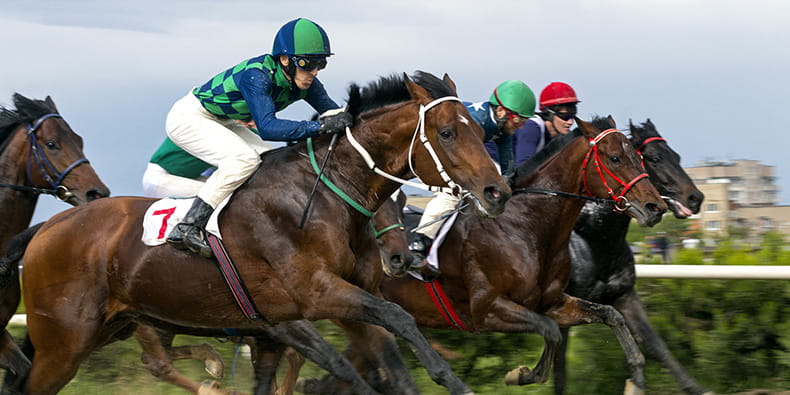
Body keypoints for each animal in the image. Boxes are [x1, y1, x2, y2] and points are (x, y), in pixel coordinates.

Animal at [372, 116, 668, 394]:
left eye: (639, 158)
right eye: (615, 158)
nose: (656, 207)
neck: (525, 227)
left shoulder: (552, 302)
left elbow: (610, 314)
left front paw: (636, 380)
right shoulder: (486, 311)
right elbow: (551, 332)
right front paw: (521, 375)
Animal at [560, 120, 716, 395]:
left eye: (677, 156)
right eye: (654, 158)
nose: (696, 198)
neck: (595, 238)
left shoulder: (624, 296)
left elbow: (656, 345)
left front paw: (695, 387)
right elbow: (559, 370)